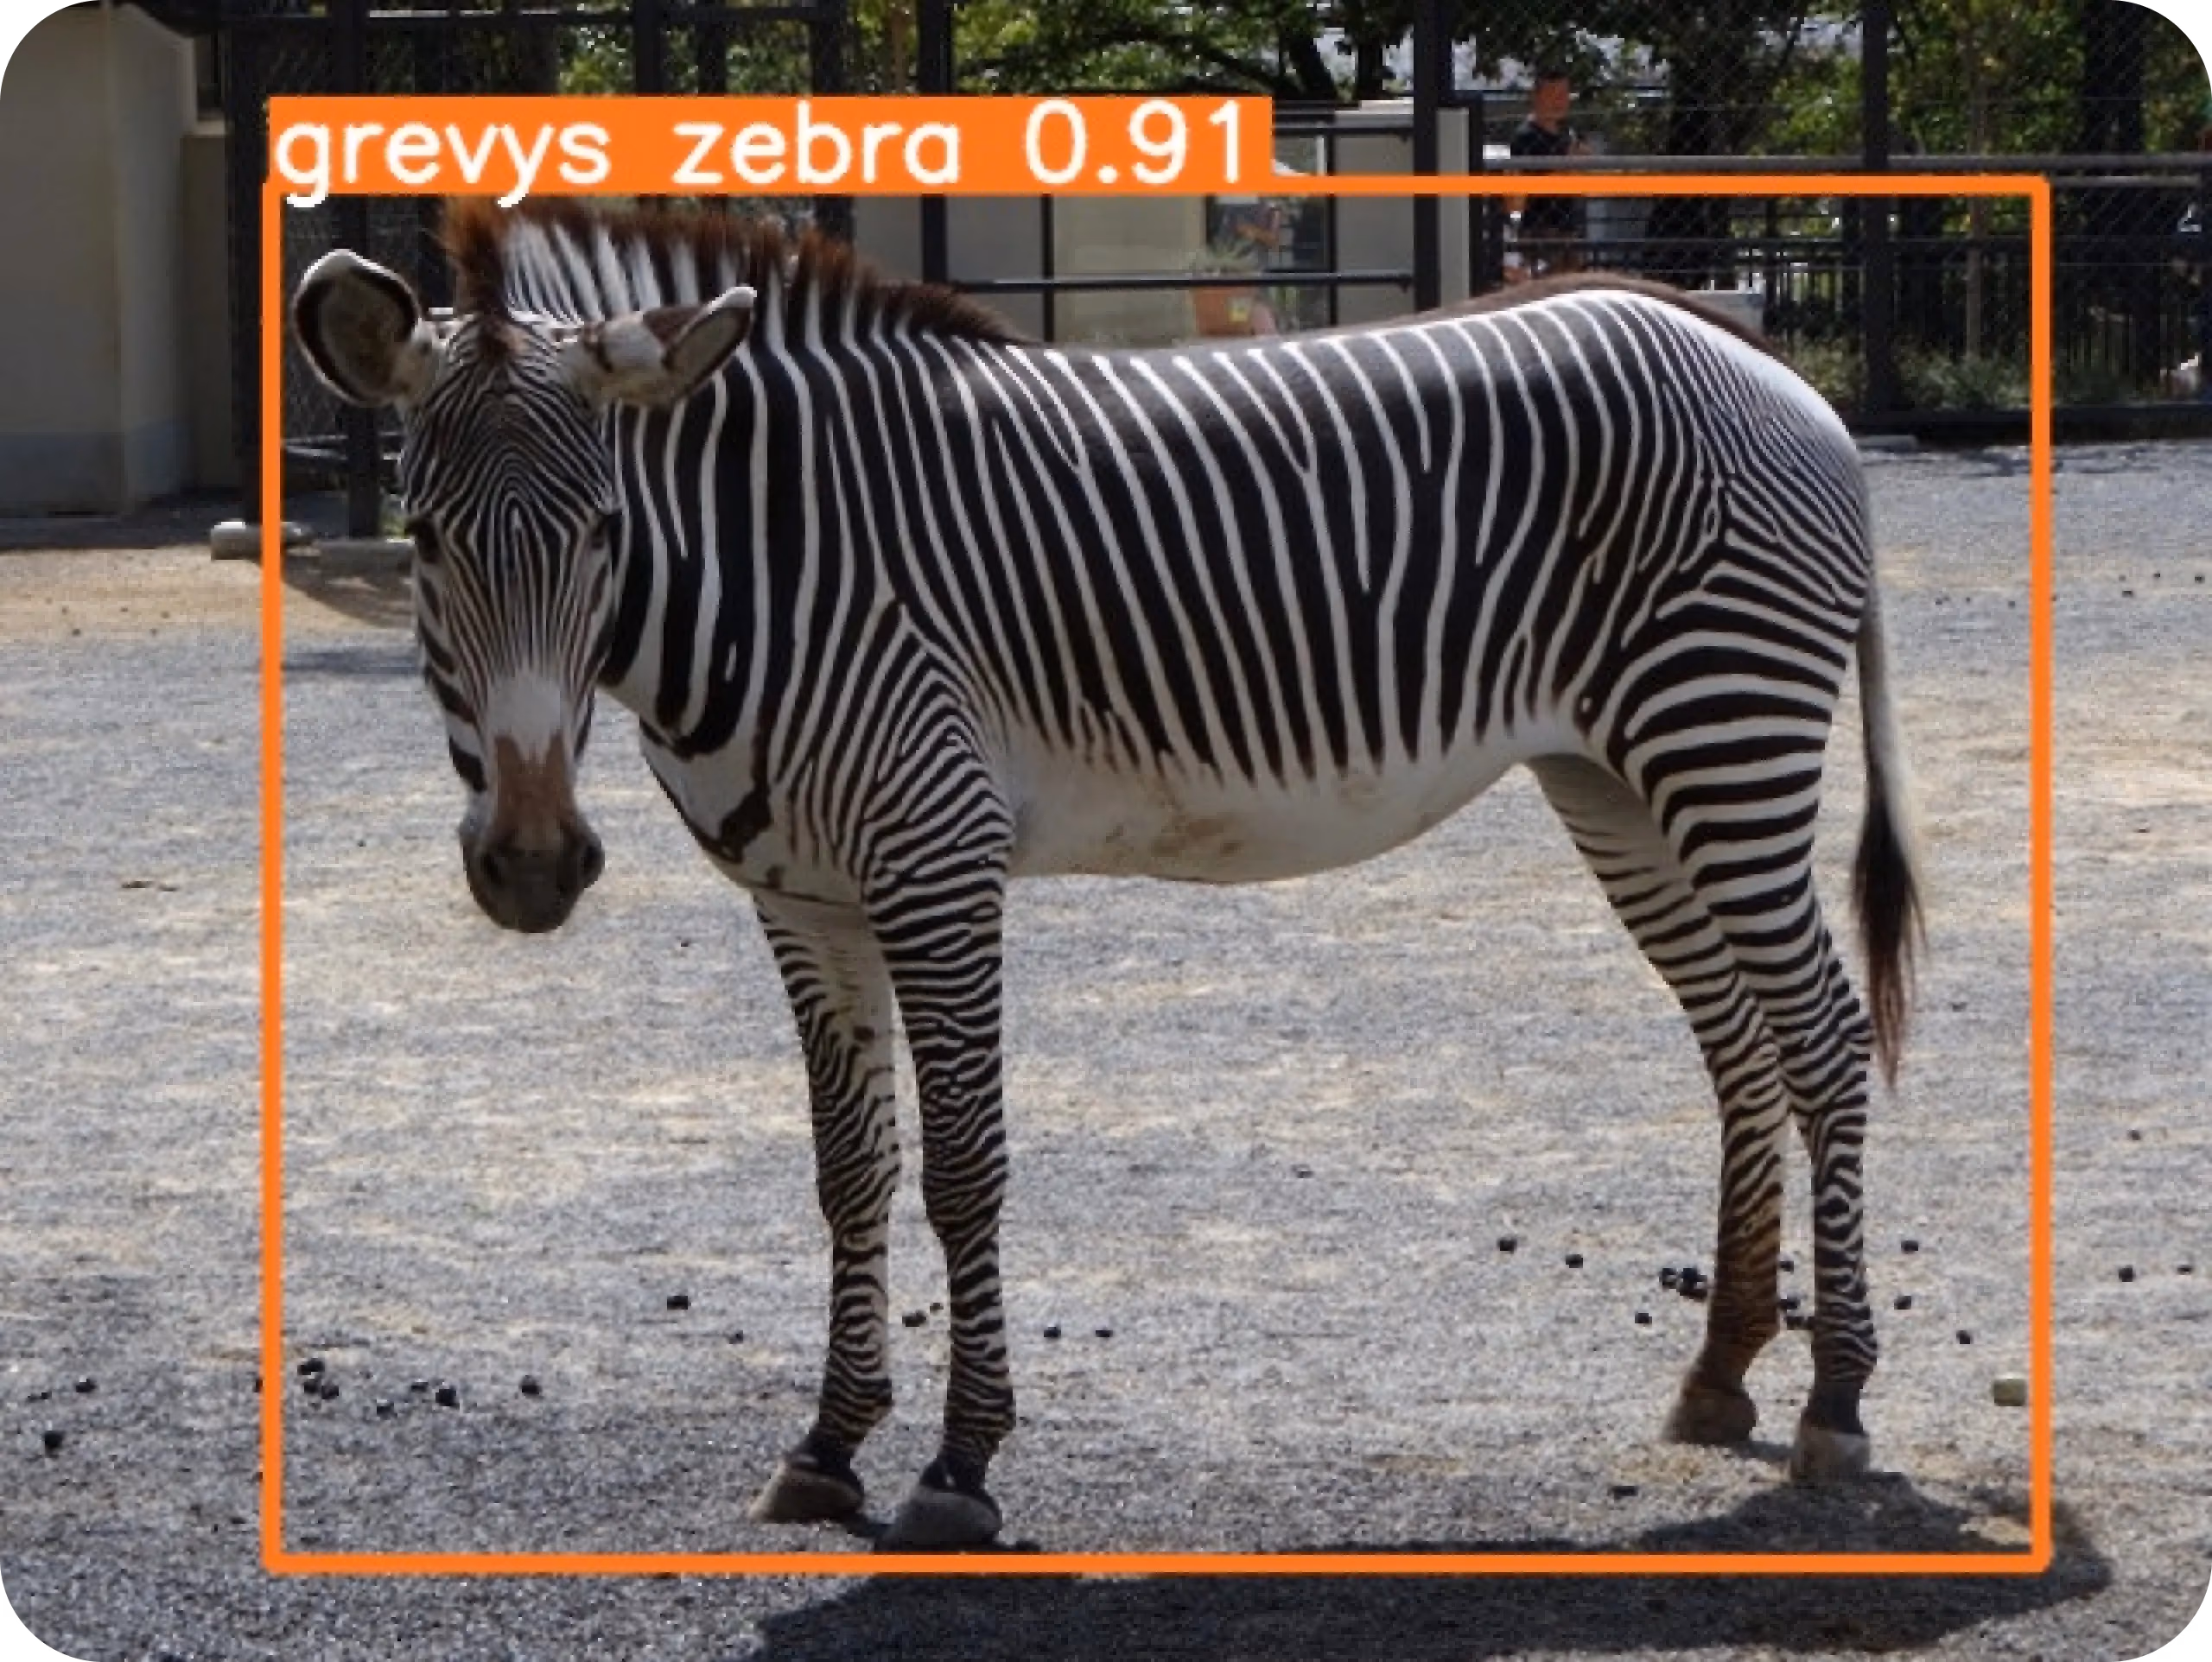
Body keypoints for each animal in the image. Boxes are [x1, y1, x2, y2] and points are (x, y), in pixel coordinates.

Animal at [292, 197, 1921, 1550]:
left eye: (606, 531)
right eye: (424, 541)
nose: (533, 866)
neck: (777, 573)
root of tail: (1742, 349)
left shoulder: (936, 864)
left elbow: (962, 1168)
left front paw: (959, 1467)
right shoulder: (803, 897)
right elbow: (846, 1170)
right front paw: (829, 1442)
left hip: (1726, 739)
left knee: (1825, 1039)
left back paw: (1837, 1398)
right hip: (1618, 780)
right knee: (1740, 1048)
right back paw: (1721, 1371)